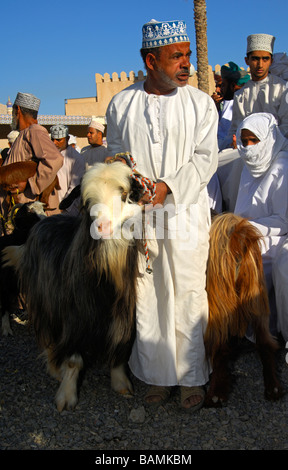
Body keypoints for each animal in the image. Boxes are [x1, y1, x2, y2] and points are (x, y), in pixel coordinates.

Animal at [3, 162, 145, 412]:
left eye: (124, 195)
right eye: (87, 202)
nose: (102, 226)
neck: (104, 284)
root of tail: (41, 221)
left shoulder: (123, 317)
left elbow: (119, 351)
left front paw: (121, 384)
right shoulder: (74, 318)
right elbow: (73, 361)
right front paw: (66, 396)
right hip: (44, 302)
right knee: (48, 337)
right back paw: (54, 369)